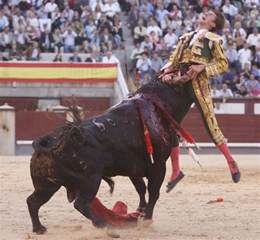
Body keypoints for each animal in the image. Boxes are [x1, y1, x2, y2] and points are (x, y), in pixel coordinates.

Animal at [26, 79, 193, 233]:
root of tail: (50, 142)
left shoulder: (133, 169)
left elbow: (141, 188)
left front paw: (140, 212)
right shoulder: (158, 166)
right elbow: (153, 192)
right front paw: (146, 219)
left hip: (47, 185)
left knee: (32, 201)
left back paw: (39, 228)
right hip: (91, 179)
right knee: (80, 203)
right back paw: (103, 224)